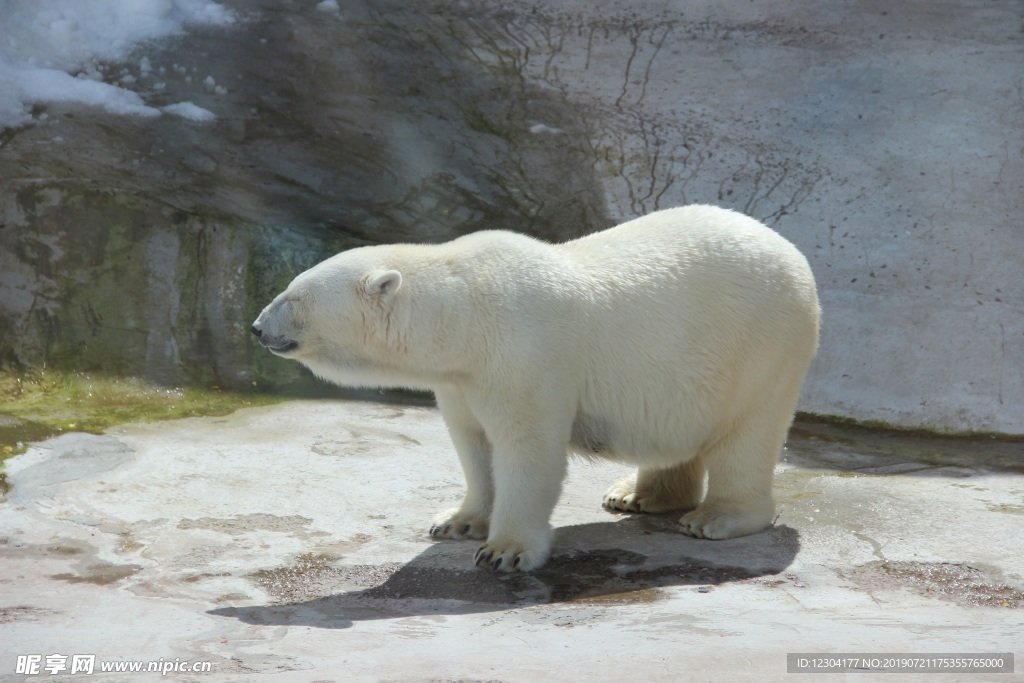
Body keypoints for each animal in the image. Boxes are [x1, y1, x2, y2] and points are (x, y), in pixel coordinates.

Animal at [251, 205, 819, 573]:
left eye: (293, 296)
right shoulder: (462, 378)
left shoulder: (523, 353)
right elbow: (473, 444)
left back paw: (715, 518)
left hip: (762, 345)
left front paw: (504, 551)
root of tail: (793, 254)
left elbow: (528, 449)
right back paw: (635, 494)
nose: (256, 328)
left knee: (748, 432)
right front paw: (457, 522)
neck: (465, 312)